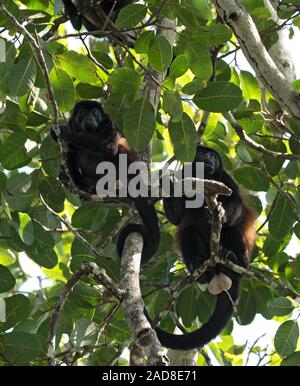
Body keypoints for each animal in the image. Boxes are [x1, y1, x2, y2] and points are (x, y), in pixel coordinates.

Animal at [52, 99, 159, 264]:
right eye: (83, 114)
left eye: (95, 114)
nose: (90, 119)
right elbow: (71, 150)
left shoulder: (109, 124)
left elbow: (108, 146)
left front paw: (65, 132)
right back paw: (80, 184)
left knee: (119, 148)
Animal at [145, 145, 255, 350]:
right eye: (202, 153)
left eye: (212, 155)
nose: (208, 157)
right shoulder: (184, 177)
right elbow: (178, 219)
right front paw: (168, 183)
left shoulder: (225, 178)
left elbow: (236, 203)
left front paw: (221, 213)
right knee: (188, 232)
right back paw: (199, 268)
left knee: (231, 229)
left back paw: (232, 259)